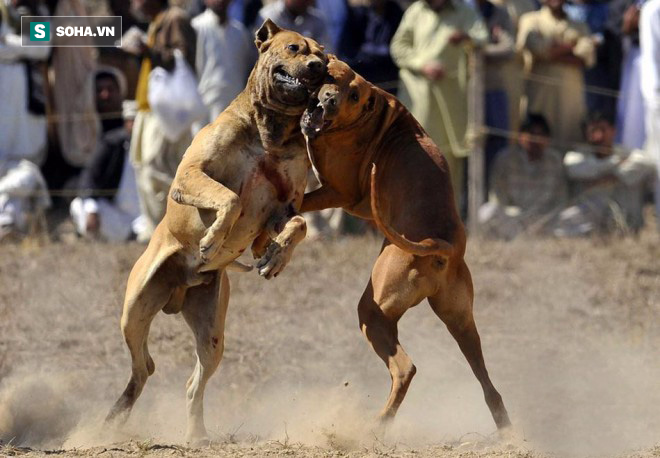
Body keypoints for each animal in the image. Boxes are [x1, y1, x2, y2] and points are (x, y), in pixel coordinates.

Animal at [105, 20, 328, 444]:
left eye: (324, 55)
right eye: (295, 48)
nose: (317, 68)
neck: (270, 132)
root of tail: (178, 291)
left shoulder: (283, 208)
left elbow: (298, 224)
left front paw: (276, 257)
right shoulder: (188, 175)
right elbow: (231, 198)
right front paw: (211, 240)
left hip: (211, 334)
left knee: (191, 383)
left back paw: (195, 434)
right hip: (135, 309)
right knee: (144, 366)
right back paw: (116, 414)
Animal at [302, 57, 512, 432]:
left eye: (353, 95)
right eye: (331, 78)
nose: (328, 101)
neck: (375, 115)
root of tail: (440, 244)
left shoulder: (337, 191)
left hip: (373, 311)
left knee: (406, 369)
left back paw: (378, 424)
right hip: (461, 322)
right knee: (489, 385)